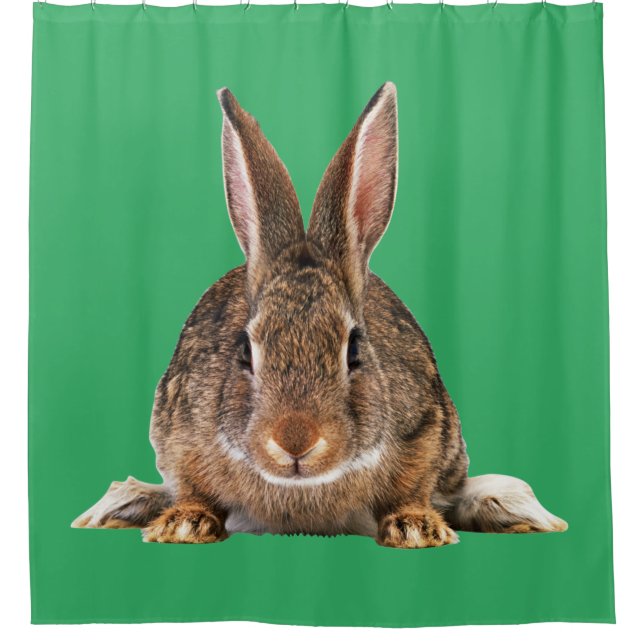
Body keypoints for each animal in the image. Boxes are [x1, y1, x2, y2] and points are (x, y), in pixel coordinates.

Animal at [72, 83, 567, 548]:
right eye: (245, 352)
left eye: (354, 350)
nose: (296, 441)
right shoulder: (181, 433)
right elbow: (192, 486)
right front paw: (183, 524)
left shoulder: (426, 430)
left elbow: (413, 488)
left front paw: (416, 528)